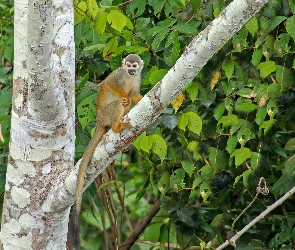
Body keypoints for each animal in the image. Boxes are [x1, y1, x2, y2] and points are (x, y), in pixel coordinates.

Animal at [73, 53, 145, 249]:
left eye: (135, 66)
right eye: (128, 66)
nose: (131, 70)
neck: (129, 76)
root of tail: (99, 121)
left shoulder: (137, 79)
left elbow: (134, 94)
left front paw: (141, 98)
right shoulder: (118, 74)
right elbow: (108, 83)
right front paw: (122, 94)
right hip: (105, 114)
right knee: (118, 103)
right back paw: (116, 125)